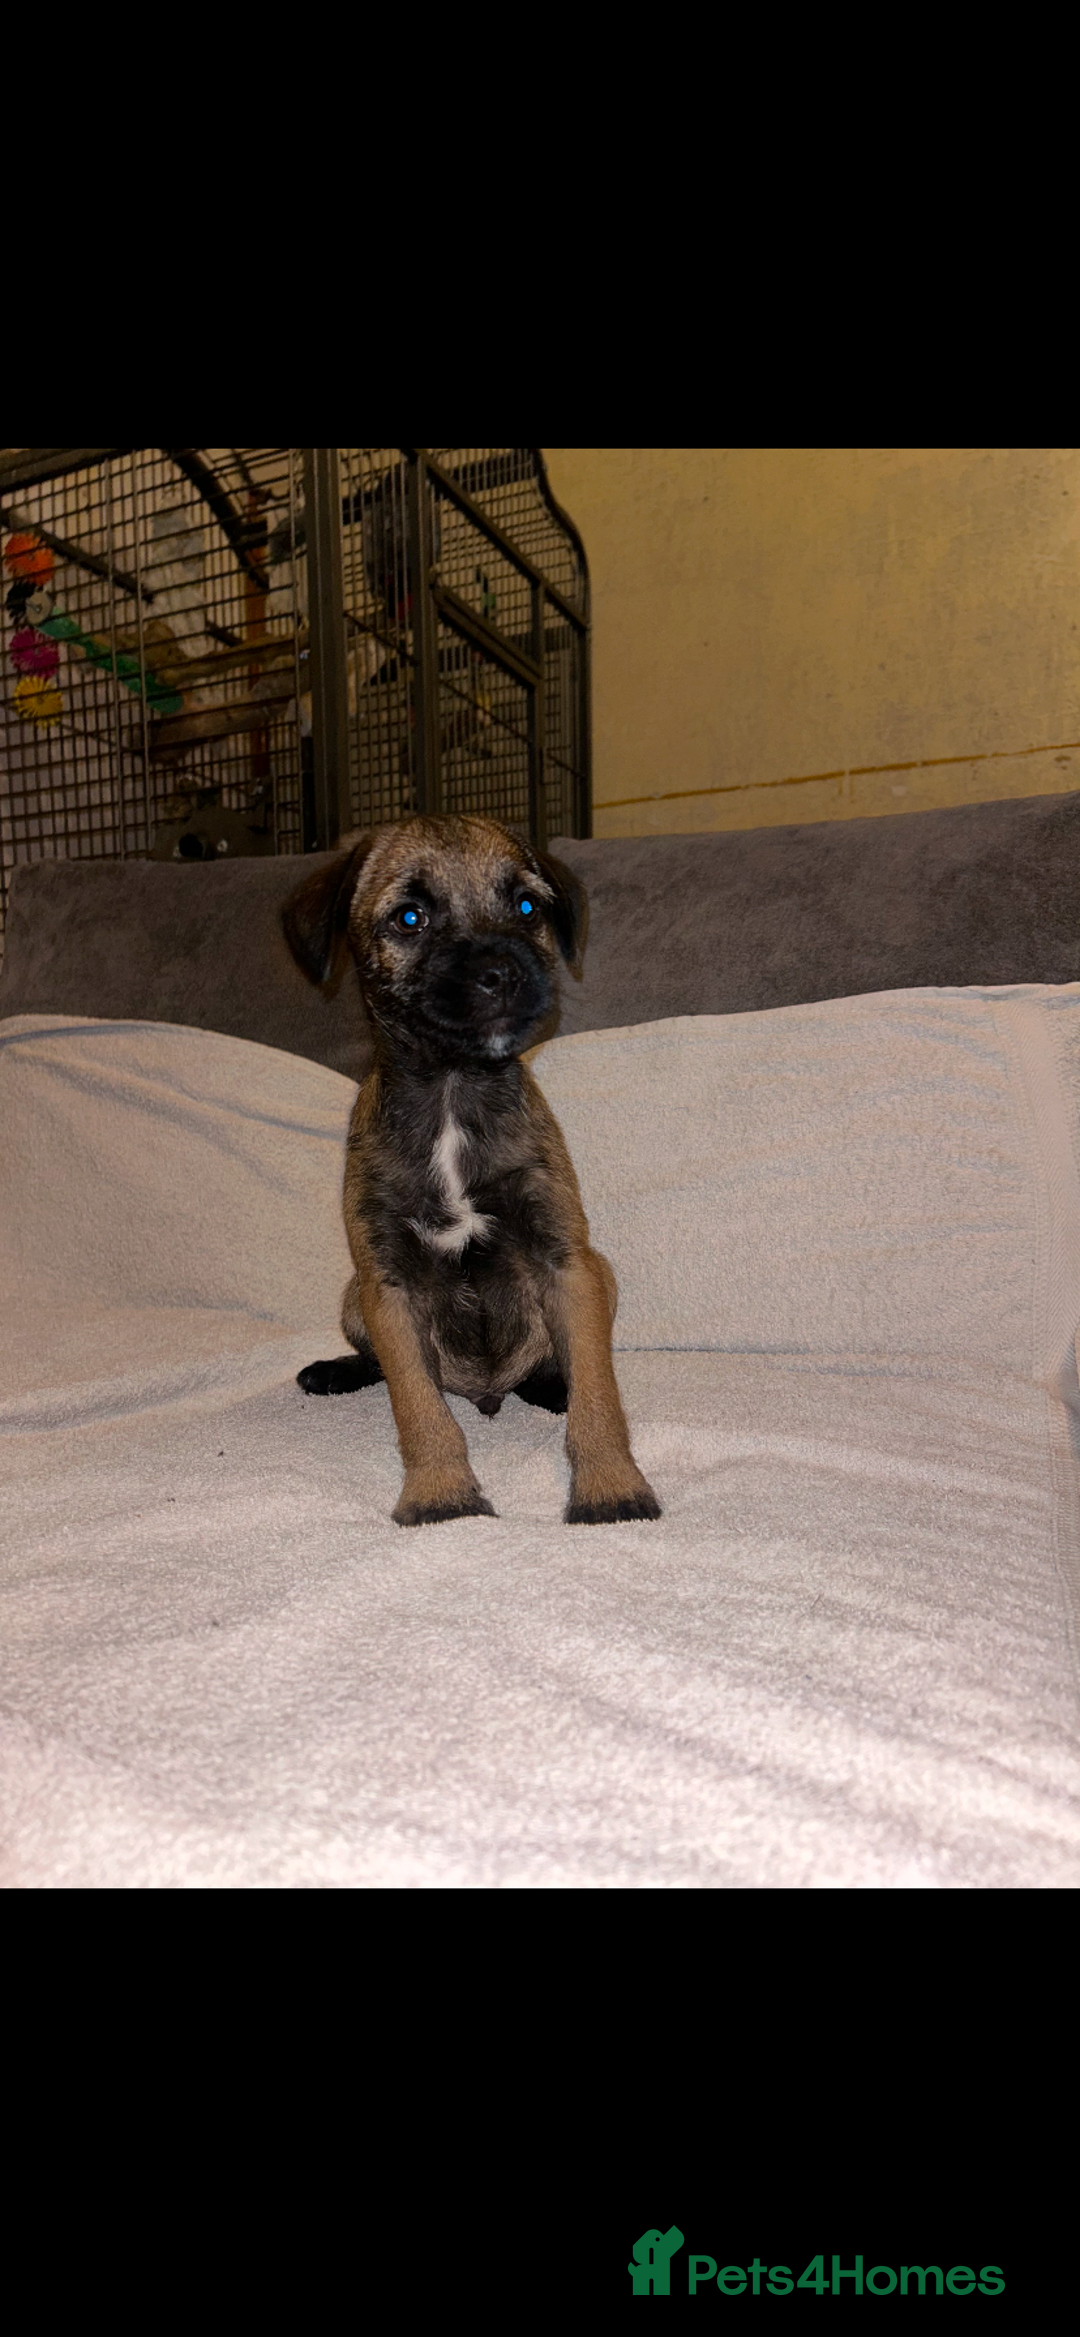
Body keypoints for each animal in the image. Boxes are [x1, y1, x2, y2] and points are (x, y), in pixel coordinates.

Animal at [281, 813, 661, 1530]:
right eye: (410, 917)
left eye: (527, 907)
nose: (501, 970)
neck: (455, 1093)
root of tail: (490, 1394)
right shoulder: (387, 1285)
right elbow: (418, 1407)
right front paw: (441, 1493)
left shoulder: (566, 1262)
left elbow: (600, 1398)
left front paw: (610, 1485)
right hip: (353, 1295)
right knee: (390, 1367)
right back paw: (337, 1371)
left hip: (600, 1273)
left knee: (561, 1362)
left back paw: (551, 1385)